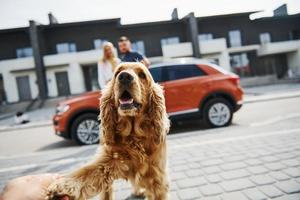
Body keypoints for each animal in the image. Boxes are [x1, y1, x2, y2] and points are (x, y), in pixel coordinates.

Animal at [45, 61, 170, 199]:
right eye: (117, 73)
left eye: (142, 75)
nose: (124, 76)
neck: (133, 135)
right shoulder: (108, 162)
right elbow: (84, 172)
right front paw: (62, 184)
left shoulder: (157, 178)